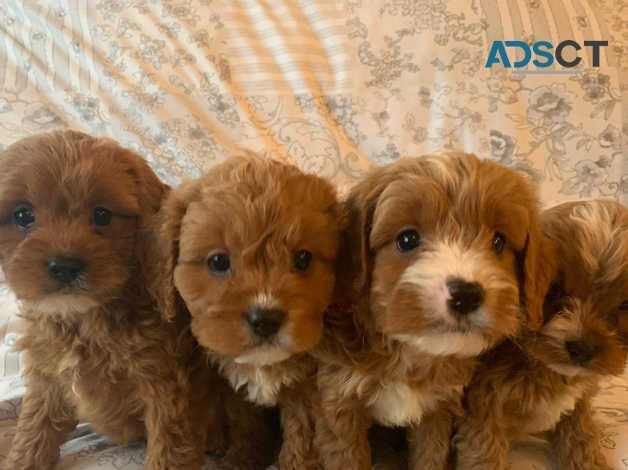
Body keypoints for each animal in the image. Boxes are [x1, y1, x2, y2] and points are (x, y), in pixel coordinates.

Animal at [0, 131, 217, 470]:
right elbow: (35, 431)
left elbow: (169, 451)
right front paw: (22, 461)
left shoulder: (166, 391)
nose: (64, 266)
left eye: (102, 215)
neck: (83, 320)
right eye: (23, 215)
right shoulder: (48, 380)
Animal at [150, 156, 340, 468]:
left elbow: (303, 434)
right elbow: (247, 424)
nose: (266, 319)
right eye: (218, 261)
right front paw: (244, 457)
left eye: (302, 258)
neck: (261, 366)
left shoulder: (306, 387)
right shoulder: (235, 388)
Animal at [314, 153, 548, 470]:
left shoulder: (436, 410)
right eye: (407, 239)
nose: (466, 295)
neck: (411, 351)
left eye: (498, 242)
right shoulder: (339, 404)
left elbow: (430, 455)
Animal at [454, 200, 624, 470]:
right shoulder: (482, 405)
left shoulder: (578, 400)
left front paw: (590, 462)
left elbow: (580, 435)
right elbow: (484, 452)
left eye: (624, 306)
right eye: (554, 291)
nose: (582, 349)